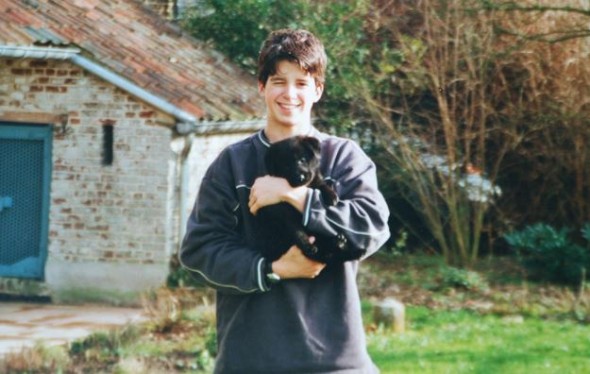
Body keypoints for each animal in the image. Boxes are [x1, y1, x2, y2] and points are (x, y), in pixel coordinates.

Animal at [258, 136, 368, 264]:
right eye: (286, 166)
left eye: (303, 159)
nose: (300, 177)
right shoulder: (285, 214)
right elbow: (297, 232)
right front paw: (307, 245)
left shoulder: (315, 178)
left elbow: (322, 185)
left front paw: (332, 196)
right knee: (325, 256)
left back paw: (349, 248)